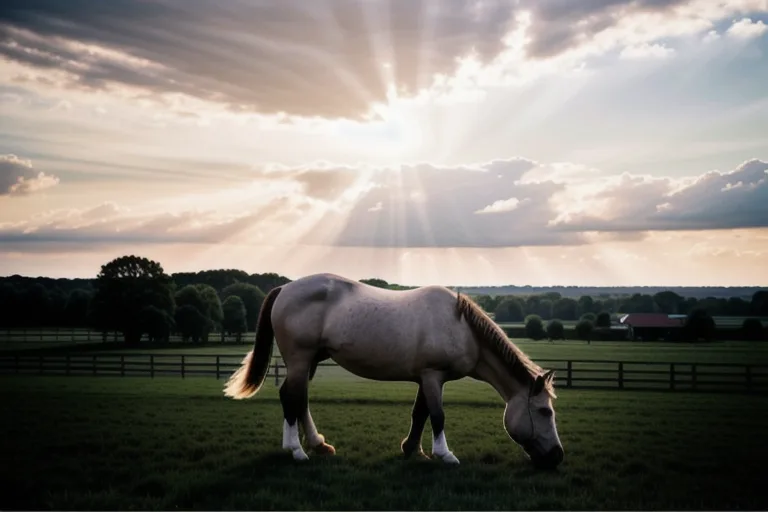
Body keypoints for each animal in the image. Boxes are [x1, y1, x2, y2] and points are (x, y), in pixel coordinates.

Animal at [224, 273, 564, 469]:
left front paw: (413, 450)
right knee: (291, 398)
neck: (461, 327)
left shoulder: (427, 378)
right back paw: (296, 450)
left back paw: (319, 445)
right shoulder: (433, 376)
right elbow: (437, 416)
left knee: (299, 399)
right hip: (299, 359)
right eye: (545, 412)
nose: (558, 456)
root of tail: (285, 288)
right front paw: (445, 455)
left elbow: (420, 413)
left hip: (309, 362)